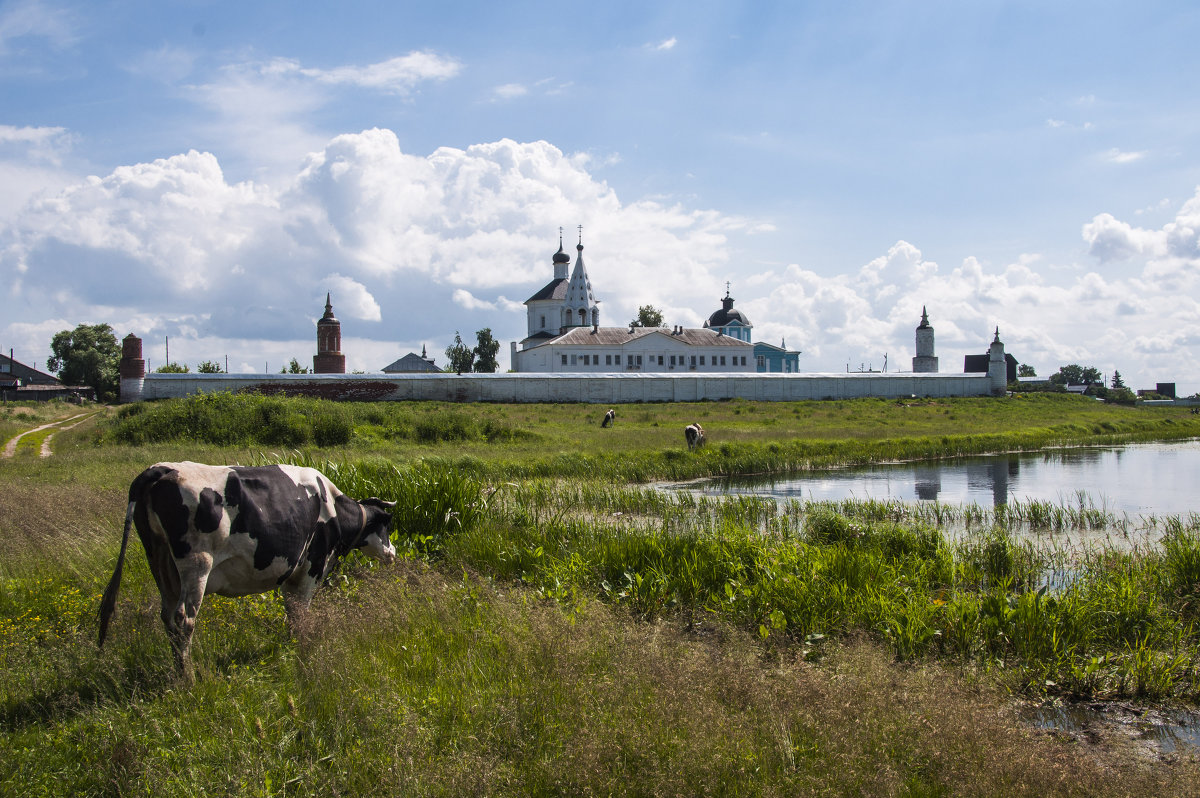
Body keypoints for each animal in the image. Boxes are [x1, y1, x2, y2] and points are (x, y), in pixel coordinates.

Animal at [98, 458, 396, 676]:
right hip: (197, 564)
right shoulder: (312, 566)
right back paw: (189, 679)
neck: (333, 508)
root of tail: (161, 469)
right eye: (386, 524)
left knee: (168, 617)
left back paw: (178, 672)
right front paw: (301, 648)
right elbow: (301, 612)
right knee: (184, 618)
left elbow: (291, 612)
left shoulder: (291, 572)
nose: (392, 552)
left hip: (160, 562)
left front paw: (290, 645)